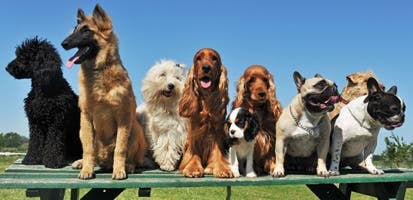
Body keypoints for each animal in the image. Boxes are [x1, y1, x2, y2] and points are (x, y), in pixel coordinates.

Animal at [60, 4, 146, 180]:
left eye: (86, 31)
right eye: (74, 30)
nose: (63, 43)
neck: (98, 70)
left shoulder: (124, 117)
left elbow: (120, 148)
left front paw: (119, 169)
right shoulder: (86, 117)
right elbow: (88, 149)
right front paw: (86, 169)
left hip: (135, 129)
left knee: (131, 157)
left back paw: (129, 166)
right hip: (82, 131)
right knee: (93, 154)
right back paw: (83, 163)